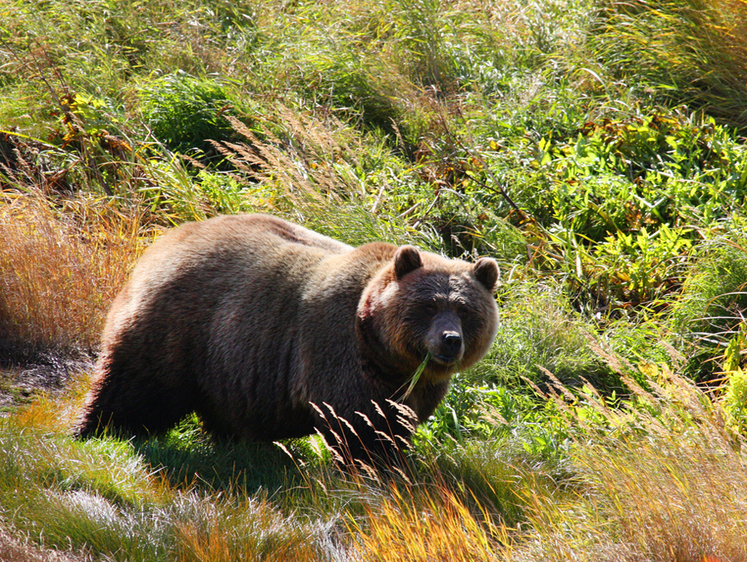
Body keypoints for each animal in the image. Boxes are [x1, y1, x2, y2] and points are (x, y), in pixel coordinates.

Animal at [76, 212, 500, 462]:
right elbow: (360, 423)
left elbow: (398, 420)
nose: (449, 340)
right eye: (429, 305)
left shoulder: (417, 385)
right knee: (136, 386)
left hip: (224, 360)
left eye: (465, 310)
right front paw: (375, 466)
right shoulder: (337, 351)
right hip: (177, 325)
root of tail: (167, 239)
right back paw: (99, 430)